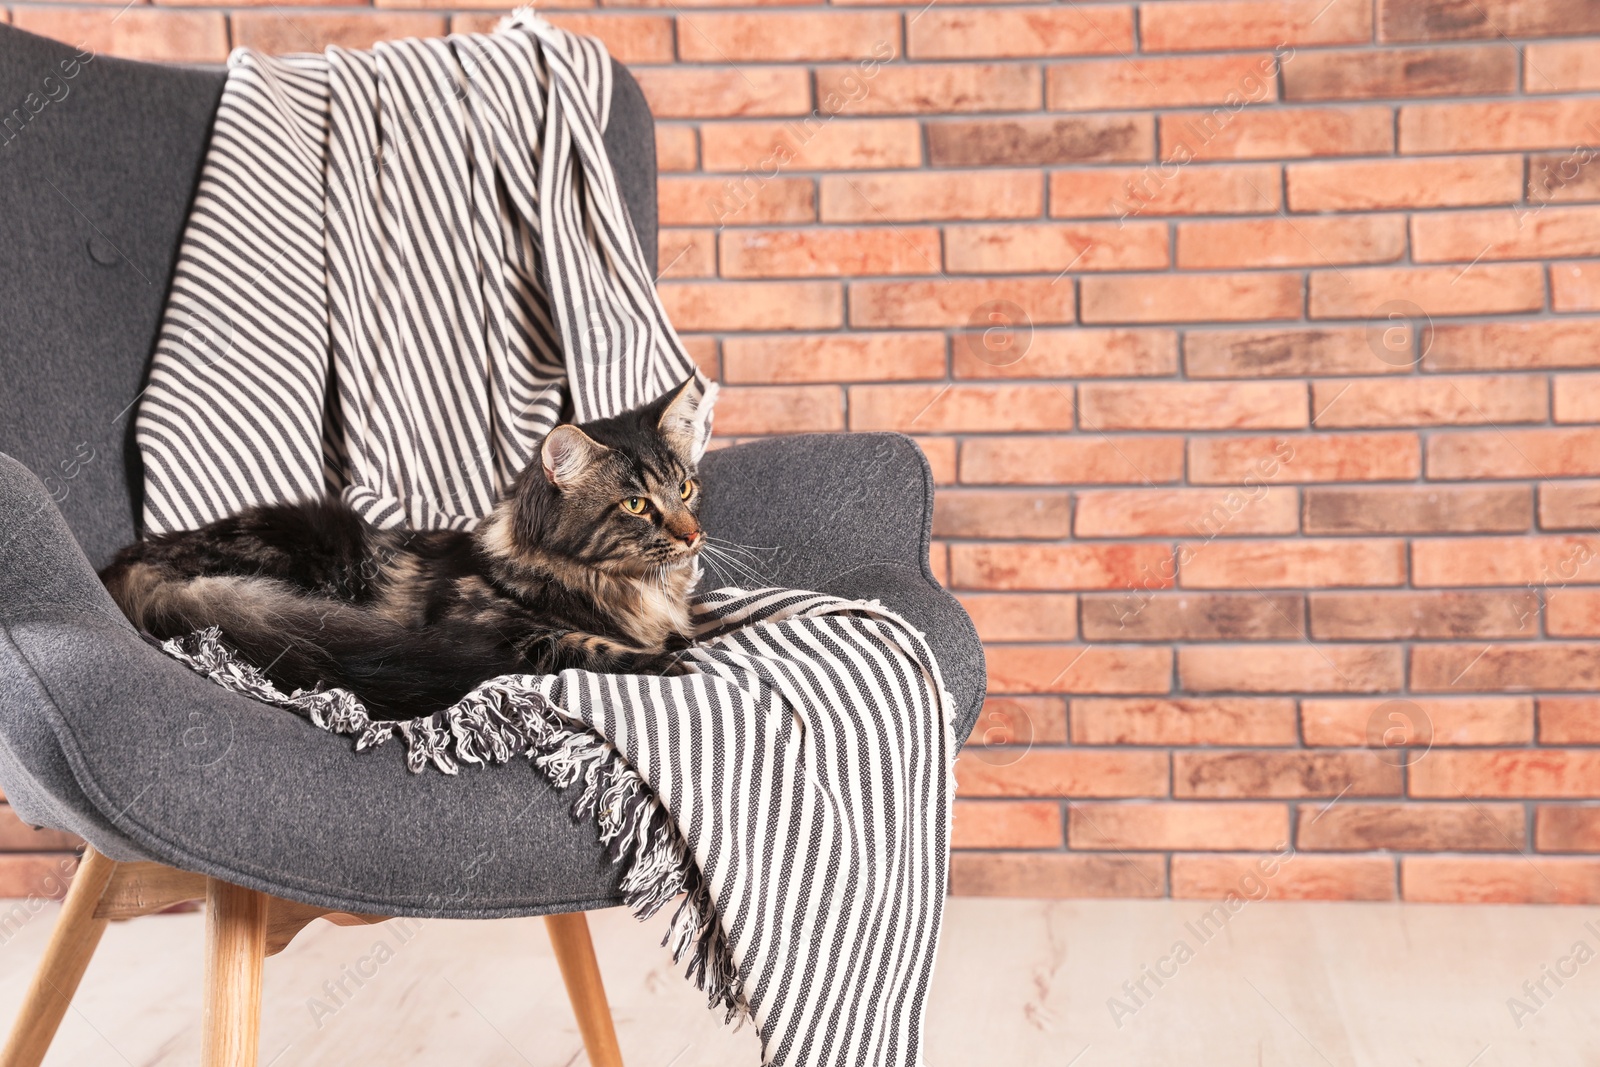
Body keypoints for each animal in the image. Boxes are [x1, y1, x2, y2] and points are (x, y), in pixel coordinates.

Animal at [103, 375, 716, 716]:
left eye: (686, 489)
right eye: (636, 505)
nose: (692, 534)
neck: (630, 587)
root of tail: (132, 561)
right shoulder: (503, 635)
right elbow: (596, 649)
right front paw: (676, 664)